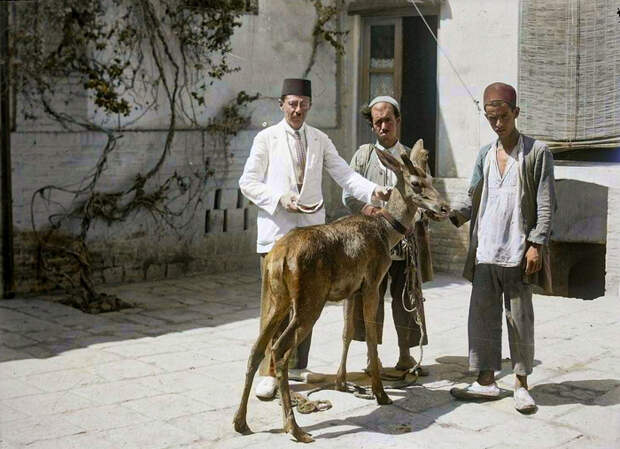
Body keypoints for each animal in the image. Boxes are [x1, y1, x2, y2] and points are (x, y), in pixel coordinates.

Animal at [235, 139, 448, 440]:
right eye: (416, 183)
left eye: (430, 178)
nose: (444, 207)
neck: (387, 232)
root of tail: (281, 256)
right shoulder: (372, 281)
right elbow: (370, 335)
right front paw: (381, 393)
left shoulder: (351, 290)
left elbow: (347, 333)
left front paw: (342, 383)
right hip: (309, 300)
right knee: (280, 350)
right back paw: (294, 428)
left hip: (277, 298)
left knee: (256, 348)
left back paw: (241, 422)